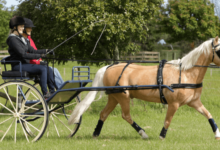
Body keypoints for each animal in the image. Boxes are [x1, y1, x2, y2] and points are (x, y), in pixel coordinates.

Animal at [69, 36, 220, 139]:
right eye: (219, 51)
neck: (186, 73)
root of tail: (109, 67)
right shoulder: (173, 104)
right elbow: (167, 120)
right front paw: (161, 136)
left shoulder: (194, 102)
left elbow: (208, 114)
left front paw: (217, 134)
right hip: (123, 97)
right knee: (126, 115)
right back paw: (143, 133)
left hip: (114, 97)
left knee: (104, 114)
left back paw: (96, 133)